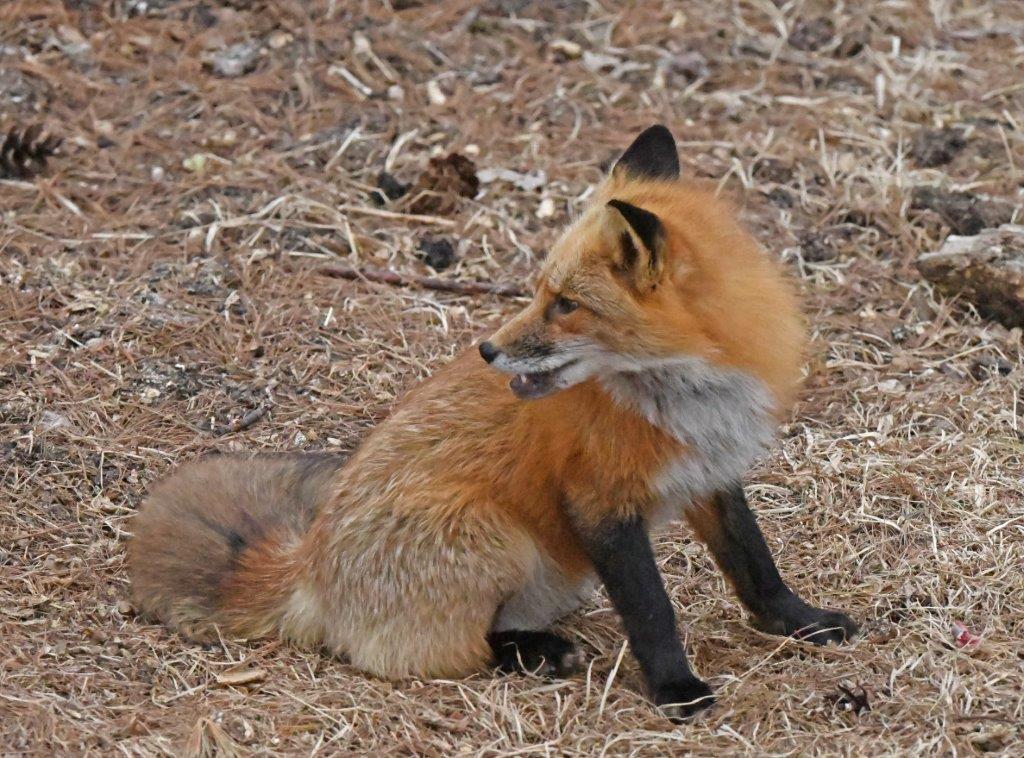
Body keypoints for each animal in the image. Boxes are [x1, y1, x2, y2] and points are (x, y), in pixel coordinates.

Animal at [129, 125, 857, 720]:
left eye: (566, 304)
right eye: (540, 293)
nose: (485, 349)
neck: (689, 397)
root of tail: (309, 563)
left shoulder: (709, 472)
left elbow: (756, 567)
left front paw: (802, 624)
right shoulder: (599, 501)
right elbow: (653, 612)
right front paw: (676, 689)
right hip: (497, 536)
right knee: (446, 653)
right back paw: (535, 653)